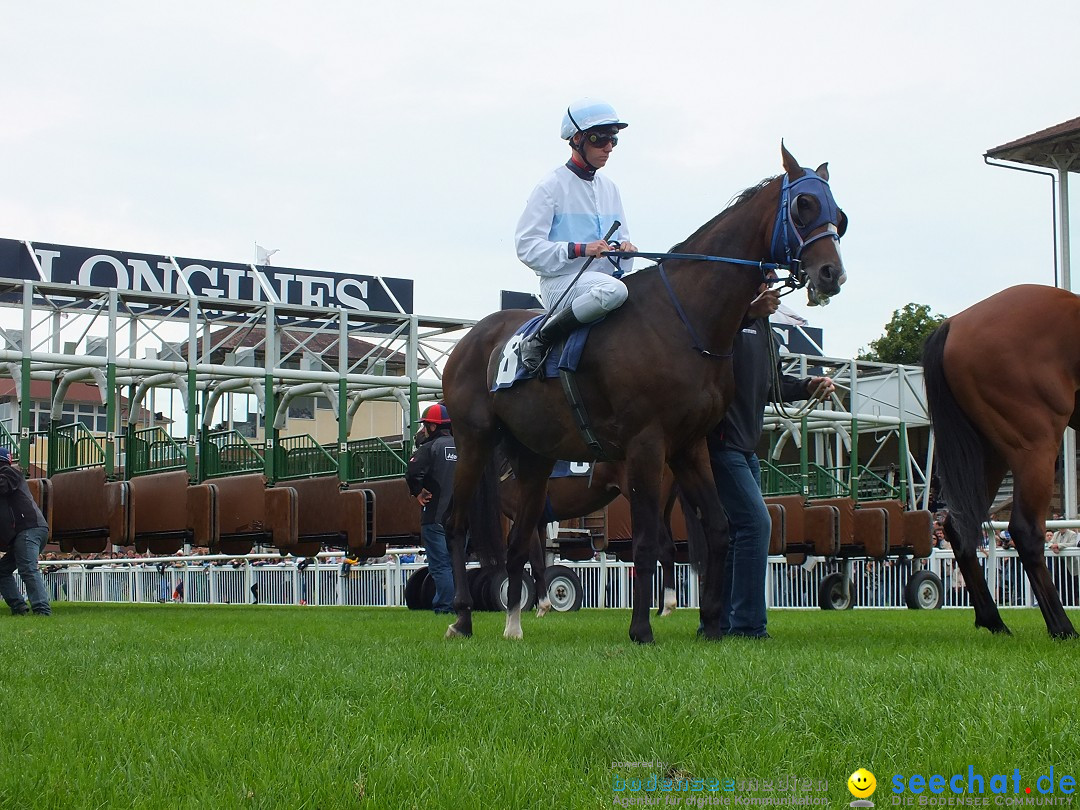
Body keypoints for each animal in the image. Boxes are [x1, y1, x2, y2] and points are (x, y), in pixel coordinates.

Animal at [442, 142, 846, 643]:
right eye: (803, 205)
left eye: (839, 214)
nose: (831, 274)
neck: (684, 320)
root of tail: (469, 339)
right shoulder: (646, 445)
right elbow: (648, 540)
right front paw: (641, 629)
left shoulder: (690, 446)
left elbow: (718, 529)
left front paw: (713, 625)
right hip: (473, 440)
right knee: (456, 524)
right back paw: (461, 617)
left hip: (534, 457)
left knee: (519, 544)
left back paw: (514, 625)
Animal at [920, 285, 1080, 639]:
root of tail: (954, 323)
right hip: (1034, 442)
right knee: (1025, 530)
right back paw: (1062, 627)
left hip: (988, 450)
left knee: (958, 527)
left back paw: (993, 619)